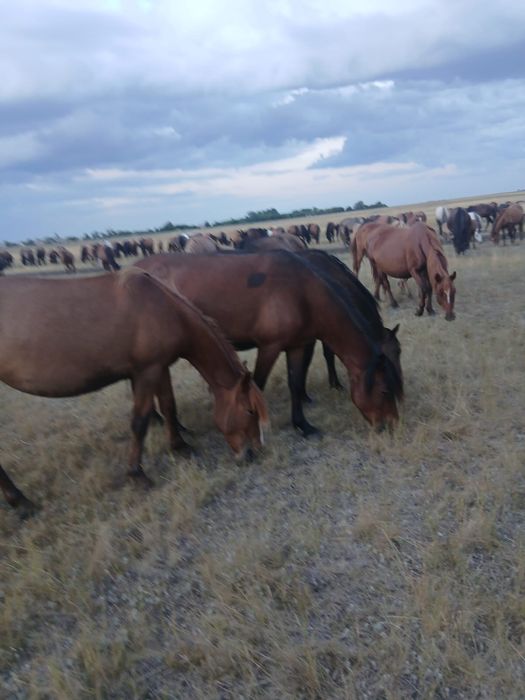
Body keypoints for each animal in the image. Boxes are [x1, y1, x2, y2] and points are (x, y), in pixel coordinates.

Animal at [0, 270, 268, 517]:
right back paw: (20, 501)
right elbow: (140, 423)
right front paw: (137, 474)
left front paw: (179, 446)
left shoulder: (160, 368)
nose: (252, 453)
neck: (163, 307)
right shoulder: (146, 372)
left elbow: (169, 405)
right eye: (249, 410)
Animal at [136, 252, 403, 436]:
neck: (303, 292)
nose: (391, 425)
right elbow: (259, 384)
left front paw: (302, 425)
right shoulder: (269, 347)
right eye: (385, 391)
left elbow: (295, 383)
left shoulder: (297, 345)